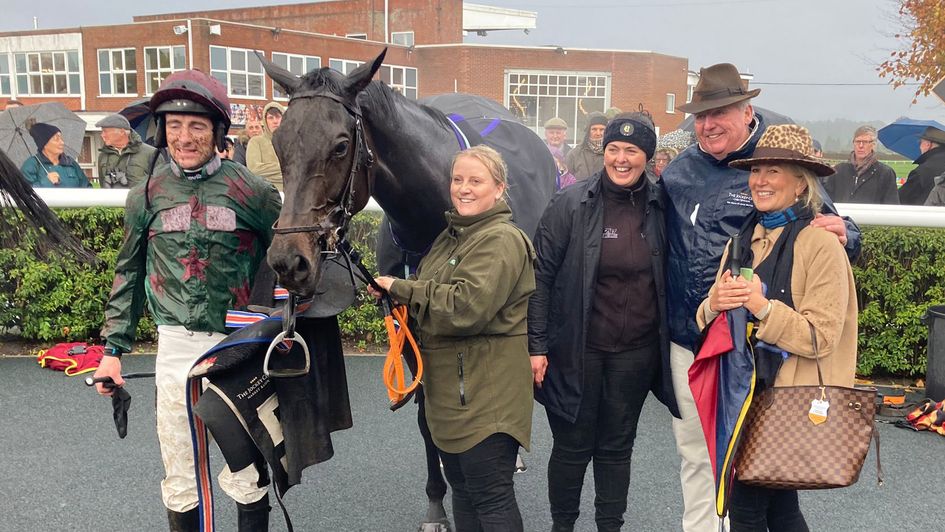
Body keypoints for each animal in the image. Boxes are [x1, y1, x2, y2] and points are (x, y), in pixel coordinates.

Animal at [260, 48, 552, 528]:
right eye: (280, 144)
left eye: (340, 145)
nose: (288, 261)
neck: (433, 218)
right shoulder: (408, 325)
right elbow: (428, 415)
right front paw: (437, 501)